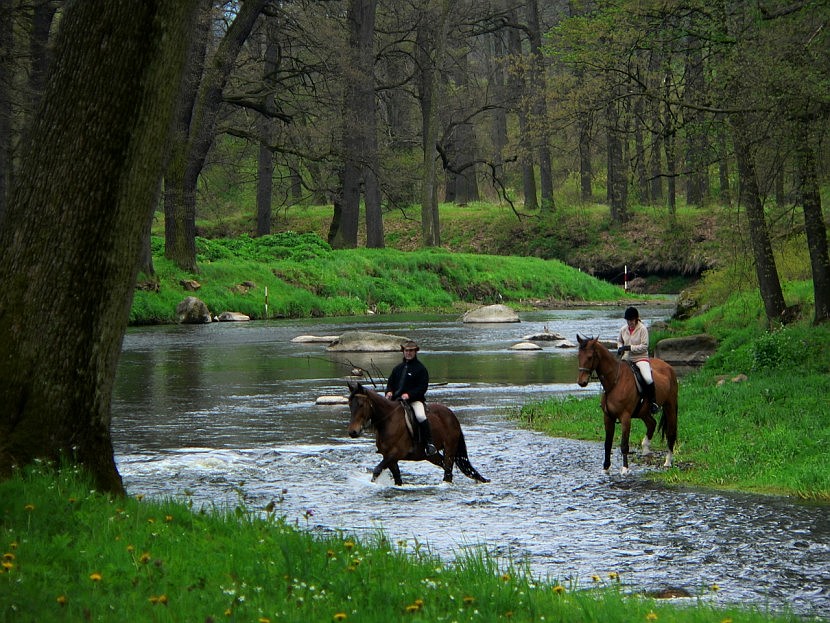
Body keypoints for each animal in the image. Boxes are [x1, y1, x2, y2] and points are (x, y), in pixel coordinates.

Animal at [346, 380, 490, 488]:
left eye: (360, 404)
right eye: (349, 404)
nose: (353, 432)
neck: (388, 421)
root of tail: (452, 415)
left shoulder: (395, 454)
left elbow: (376, 470)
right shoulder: (389, 457)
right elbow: (397, 478)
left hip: (450, 448)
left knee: (448, 471)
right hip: (430, 455)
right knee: (444, 465)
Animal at [576, 336, 680, 472]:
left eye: (589, 357)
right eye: (579, 356)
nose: (581, 382)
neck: (615, 381)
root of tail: (668, 367)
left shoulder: (625, 417)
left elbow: (624, 444)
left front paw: (625, 469)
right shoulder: (608, 417)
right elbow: (607, 443)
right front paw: (606, 468)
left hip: (670, 406)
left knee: (670, 433)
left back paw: (667, 461)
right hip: (643, 411)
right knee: (652, 424)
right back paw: (645, 448)